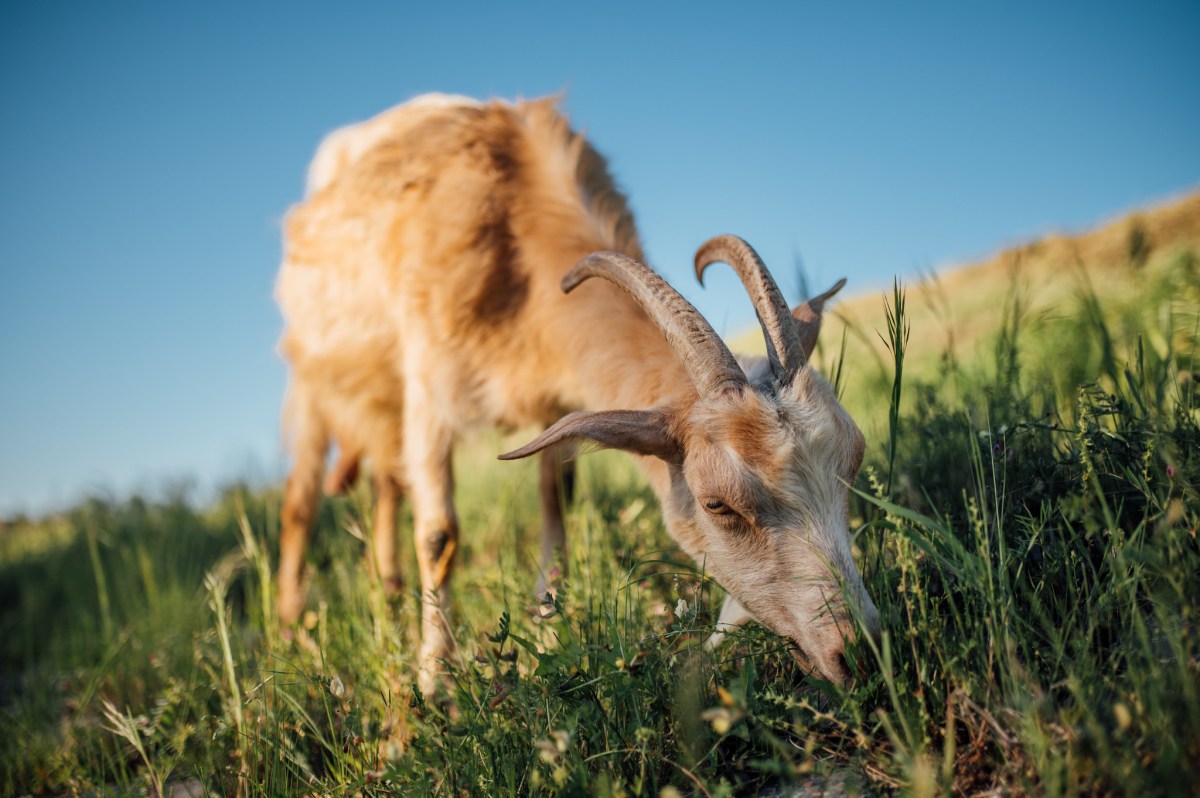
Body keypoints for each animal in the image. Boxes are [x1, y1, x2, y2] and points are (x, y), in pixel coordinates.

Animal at [275, 94, 880, 691]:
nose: (861, 653)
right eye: (718, 504)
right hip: (312, 378)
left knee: (386, 482)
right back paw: (292, 627)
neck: (516, 256)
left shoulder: (561, 404)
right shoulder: (428, 382)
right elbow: (439, 534)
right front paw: (436, 682)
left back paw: (391, 590)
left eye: (854, 461)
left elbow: (556, 504)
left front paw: (548, 632)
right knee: (301, 501)